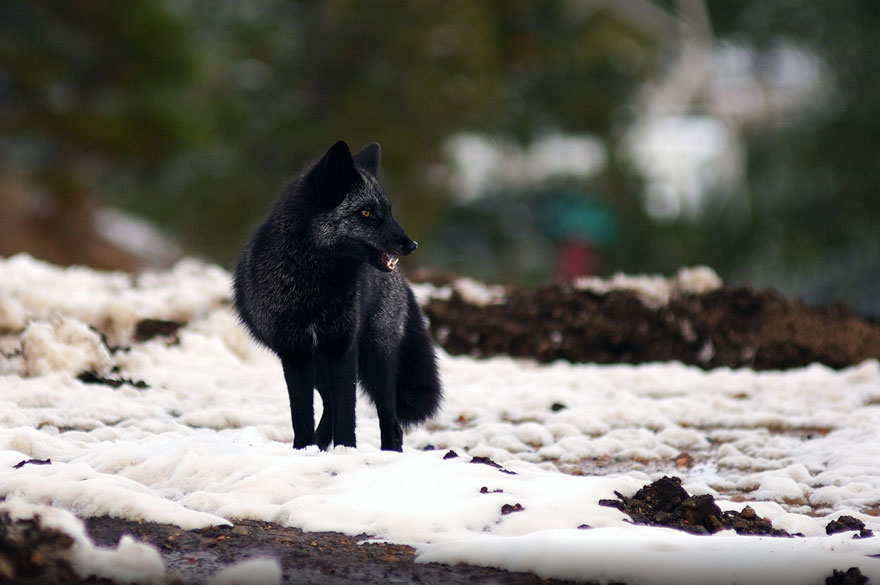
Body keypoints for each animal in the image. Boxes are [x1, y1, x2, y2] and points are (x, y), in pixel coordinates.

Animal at [233, 140, 442, 452]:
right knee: (329, 407)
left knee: (390, 419)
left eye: (389, 211)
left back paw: (388, 453)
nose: (412, 245)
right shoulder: (295, 354)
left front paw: (346, 451)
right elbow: (302, 415)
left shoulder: (342, 348)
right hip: (322, 369)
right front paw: (305, 450)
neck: (312, 289)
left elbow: (346, 413)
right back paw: (320, 446)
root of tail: (403, 280)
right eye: (366, 213)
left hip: (375, 359)